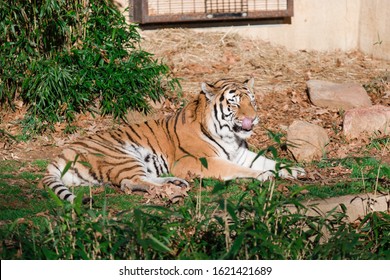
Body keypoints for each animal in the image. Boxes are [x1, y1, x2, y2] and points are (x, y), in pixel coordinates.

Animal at [42, 77, 304, 202]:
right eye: (234, 103)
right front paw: (265, 175)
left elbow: (268, 160)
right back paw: (173, 186)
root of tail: (60, 154)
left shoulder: (240, 153)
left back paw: (176, 183)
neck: (231, 136)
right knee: (131, 181)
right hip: (121, 155)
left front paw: (295, 170)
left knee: (131, 182)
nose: (254, 118)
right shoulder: (199, 161)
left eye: (252, 100)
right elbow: (236, 169)